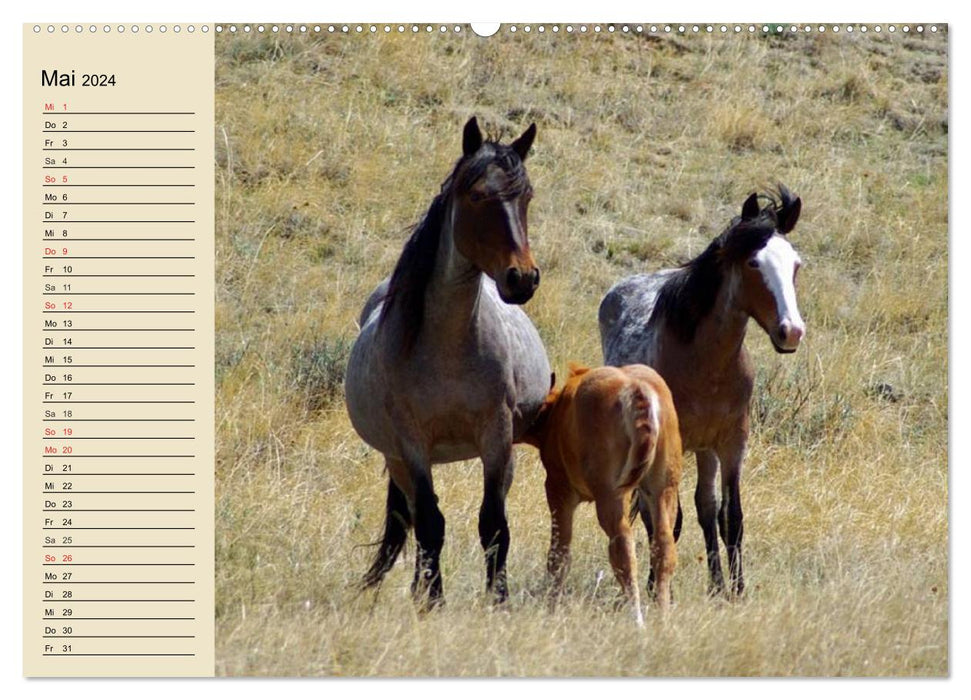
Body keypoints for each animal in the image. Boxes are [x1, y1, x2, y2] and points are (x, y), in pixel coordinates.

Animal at [346, 116, 552, 608]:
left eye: (527, 196)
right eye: (476, 195)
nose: (522, 278)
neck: (448, 351)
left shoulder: (497, 435)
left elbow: (493, 524)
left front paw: (499, 599)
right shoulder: (413, 444)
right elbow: (431, 524)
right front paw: (434, 602)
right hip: (397, 459)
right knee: (412, 518)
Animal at [524, 364, 684, 628]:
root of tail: (638, 391)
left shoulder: (558, 490)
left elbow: (559, 554)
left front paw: (550, 610)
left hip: (612, 495)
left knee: (623, 548)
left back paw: (637, 619)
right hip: (664, 488)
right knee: (663, 546)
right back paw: (662, 617)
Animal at [600, 189, 804, 600]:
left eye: (796, 264)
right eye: (754, 262)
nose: (791, 331)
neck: (706, 365)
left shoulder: (733, 442)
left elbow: (730, 517)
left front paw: (736, 590)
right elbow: (667, 520)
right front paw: (658, 588)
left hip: (706, 449)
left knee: (706, 509)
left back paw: (716, 583)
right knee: (654, 512)